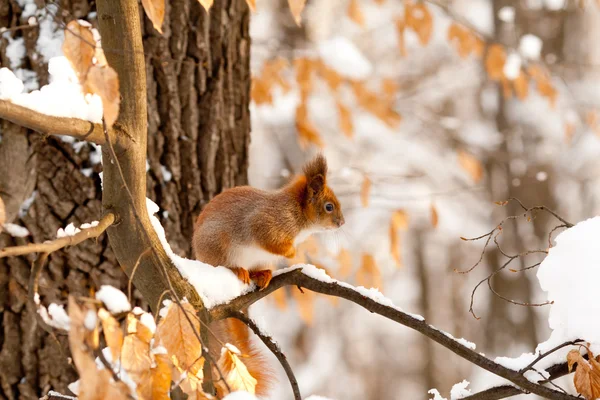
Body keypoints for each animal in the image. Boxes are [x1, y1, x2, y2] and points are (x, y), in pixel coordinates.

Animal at [192, 153, 342, 396]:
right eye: (329, 207)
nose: (341, 222)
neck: (297, 214)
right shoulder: (265, 223)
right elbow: (269, 240)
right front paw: (290, 251)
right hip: (218, 246)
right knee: (225, 265)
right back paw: (238, 270)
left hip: (259, 259)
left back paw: (262, 274)